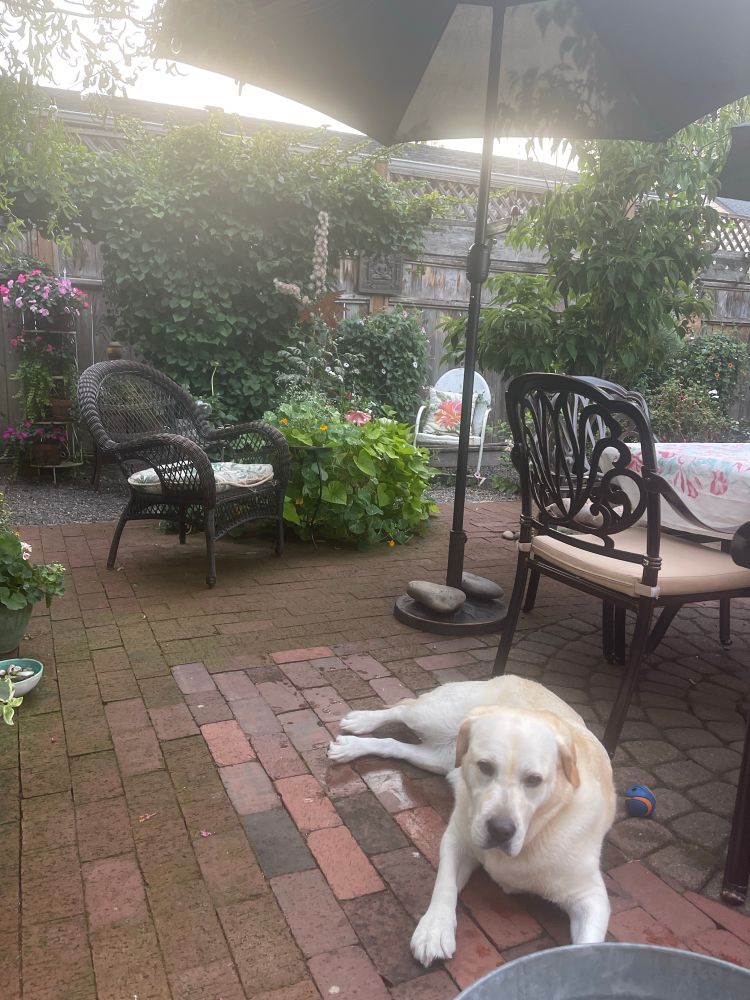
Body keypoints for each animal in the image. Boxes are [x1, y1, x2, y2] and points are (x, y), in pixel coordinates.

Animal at [327, 674, 615, 966]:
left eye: (534, 780)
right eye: (484, 766)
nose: (500, 831)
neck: (538, 828)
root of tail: (518, 677)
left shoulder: (591, 896)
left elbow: (589, 946)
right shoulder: (457, 838)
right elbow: (444, 884)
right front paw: (434, 929)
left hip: (437, 757)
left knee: (395, 745)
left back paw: (354, 745)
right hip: (435, 716)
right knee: (402, 707)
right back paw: (359, 722)